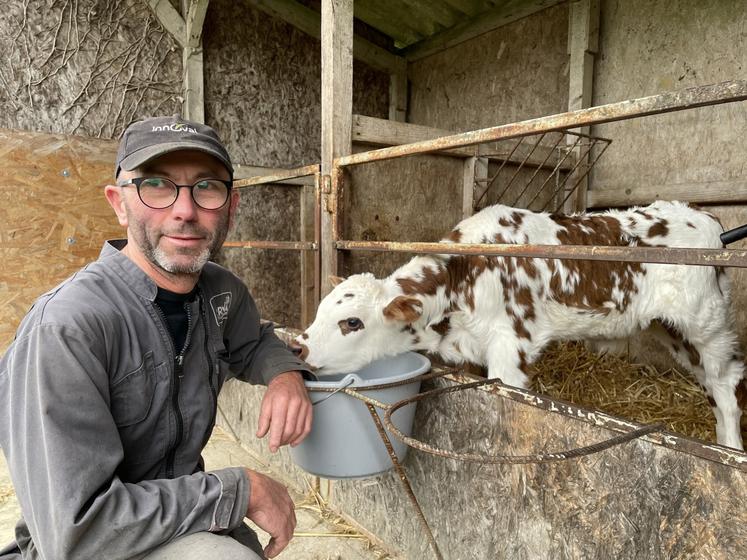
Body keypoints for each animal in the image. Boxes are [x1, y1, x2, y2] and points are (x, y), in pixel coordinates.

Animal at [296, 201, 744, 450]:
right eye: (319, 311)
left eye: (351, 321)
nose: (299, 347)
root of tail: (703, 216)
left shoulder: (510, 347)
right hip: (668, 327)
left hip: (706, 323)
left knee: (725, 383)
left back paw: (731, 447)